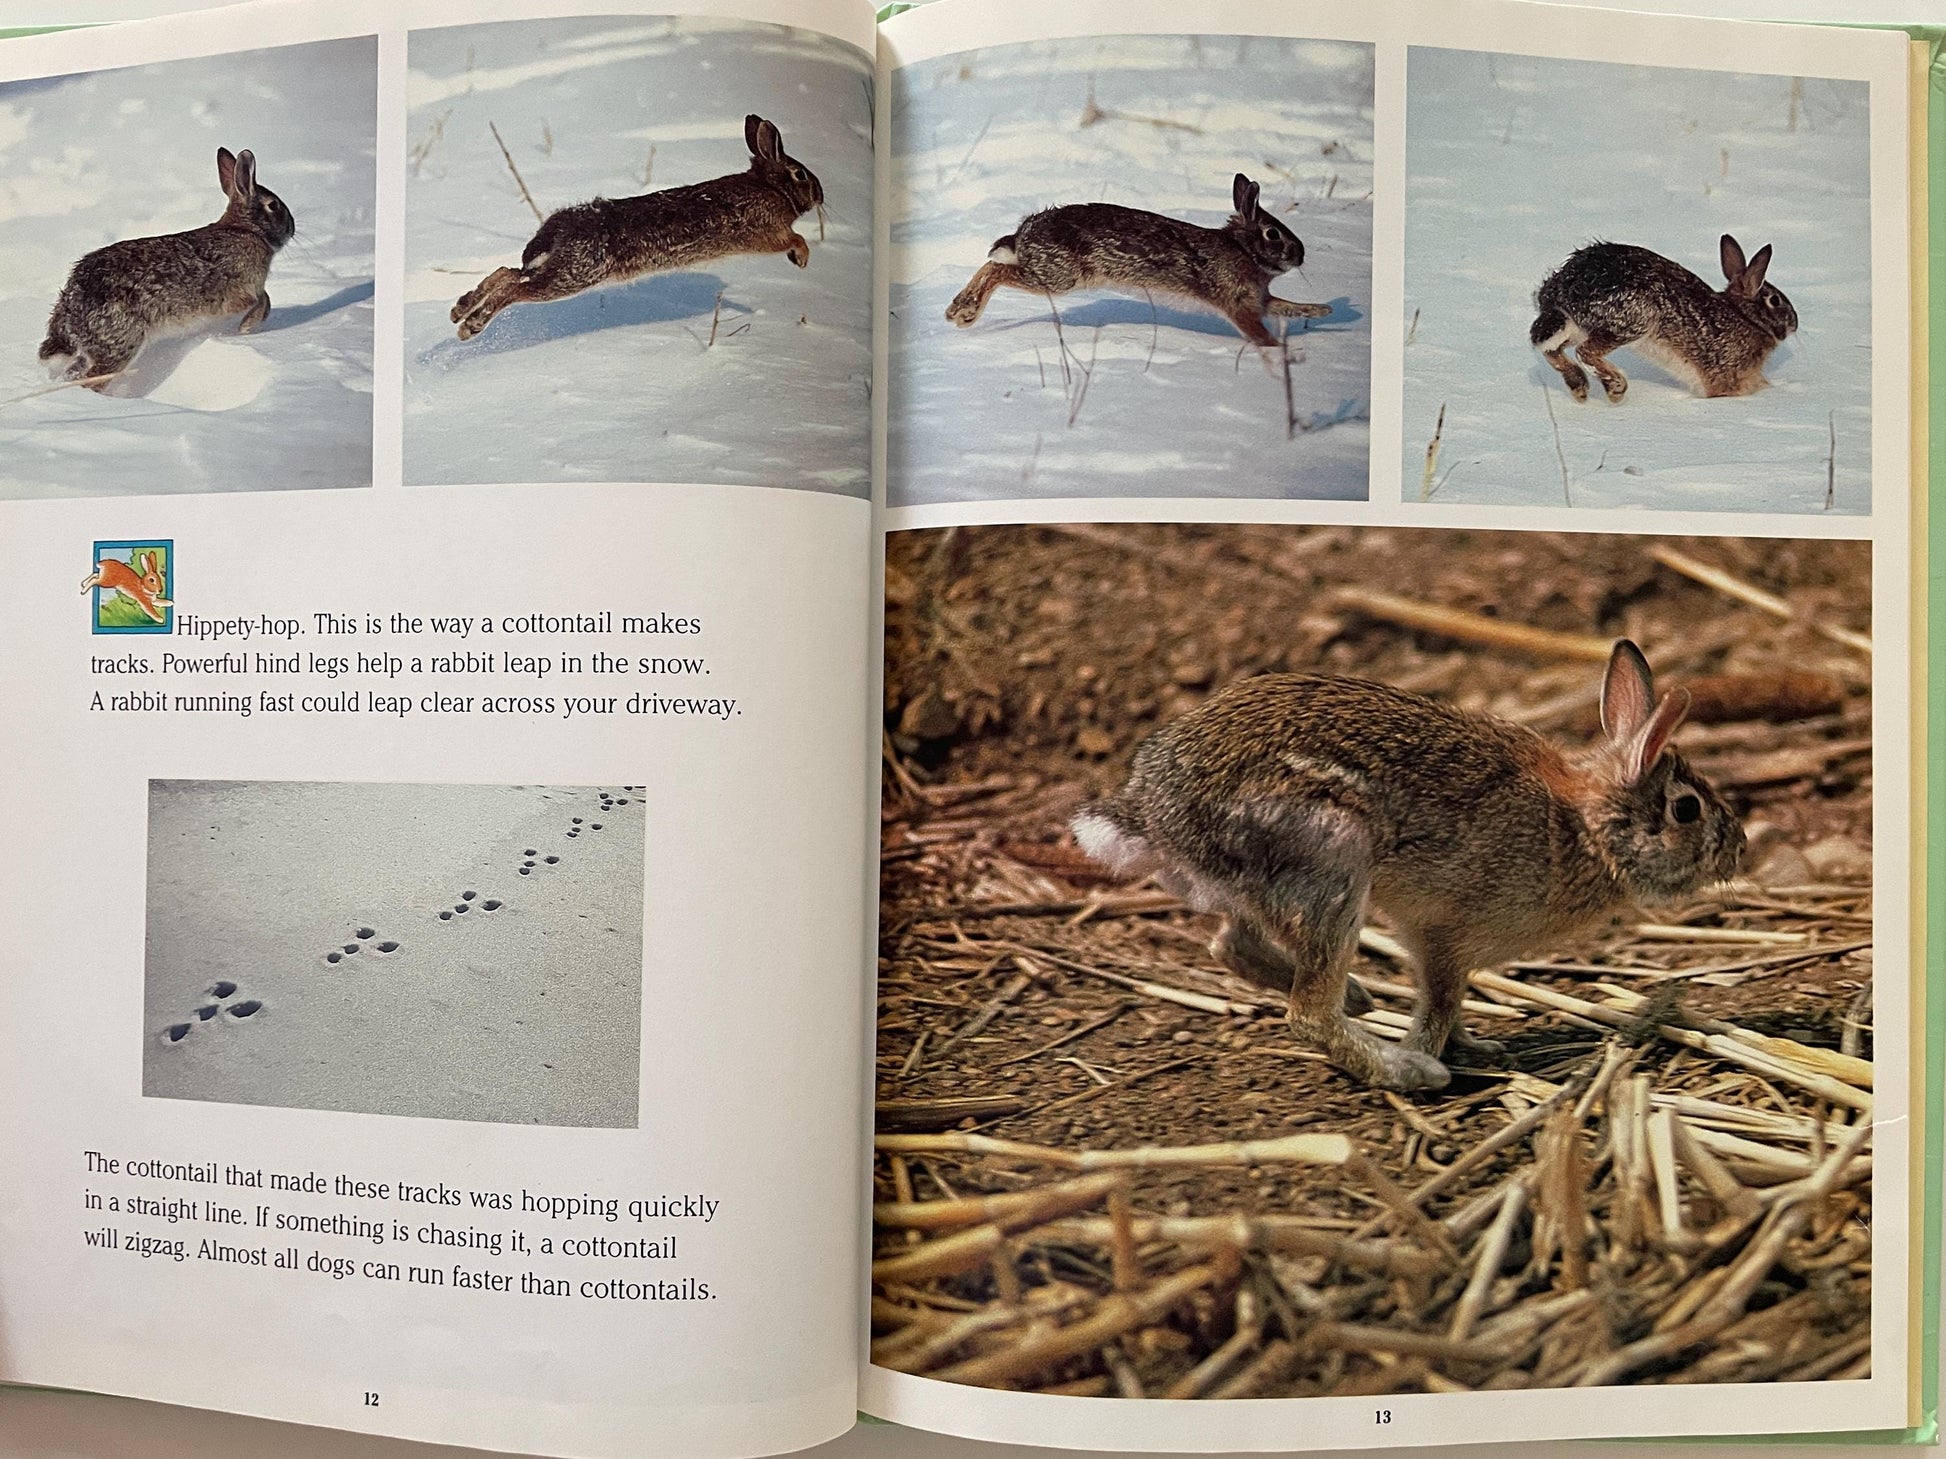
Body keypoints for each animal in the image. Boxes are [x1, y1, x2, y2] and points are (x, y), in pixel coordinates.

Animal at [40, 148, 294, 391]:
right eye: (273, 205)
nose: (292, 227)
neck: (246, 229)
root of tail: (70, 305)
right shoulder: (241, 293)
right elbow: (263, 300)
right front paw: (247, 326)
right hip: (122, 342)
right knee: (93, 378)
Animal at [452, 114, 826, 341]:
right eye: (800, 174)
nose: (822, 194)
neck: (771, 188)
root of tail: (557, 231)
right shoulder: (766, 232)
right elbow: (795, 237)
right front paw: (802, 258)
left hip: (559, 268)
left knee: (509, 273)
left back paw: (459, 310)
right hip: (575, 275)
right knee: (517, 289)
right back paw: (471, 327)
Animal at [945, 174, 1331, 349]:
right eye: (1272, 234)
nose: (1301, 253)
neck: (1243, 250)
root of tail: (1024, 232)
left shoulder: (1261, 299)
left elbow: (1285, 305)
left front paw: (1323, 311)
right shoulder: (1237, 304)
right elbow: (1255, 330)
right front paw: (1279, 351)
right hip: (1058, 276)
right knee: (997, 269)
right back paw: (962, 313)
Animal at [1071, 641, 1744, 1093]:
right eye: (1687, 809)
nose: (1738, 848)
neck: (1585, 828)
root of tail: (1152, 811)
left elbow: (1449, 1003)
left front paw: (1480, 1046)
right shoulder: (1447, 937)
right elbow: (1440, 1004)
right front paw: (1435, 1054)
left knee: (1231, 943)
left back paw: (1362, 997)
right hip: (1333, 863)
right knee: (1306, 1014)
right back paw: (1403, 1069)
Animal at [1529, 235, 1797, 402]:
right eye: (1775, 300)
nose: (1795, 323)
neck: (1747, 317)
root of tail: (1560, 292)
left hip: (1576, 328)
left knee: (1549, 348)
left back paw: (1580, 388)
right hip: (1636, 319)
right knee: (1585, 352)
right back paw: (1616, 388)